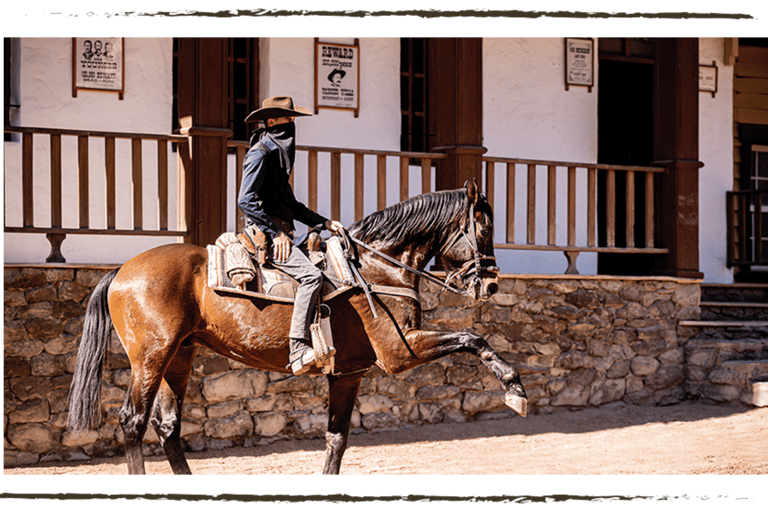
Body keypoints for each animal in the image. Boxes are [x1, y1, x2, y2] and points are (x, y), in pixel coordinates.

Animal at [69, 180, 528, 476]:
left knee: (168, 426)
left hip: (179, 356)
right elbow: (473, 337)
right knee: (133, 421)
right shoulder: (400, 352)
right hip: (151, 357)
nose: (491, 284)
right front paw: (514, 388)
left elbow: (336, 439)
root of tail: (123, 270)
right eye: (484, 227)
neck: (375, 266)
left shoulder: (348, 373)